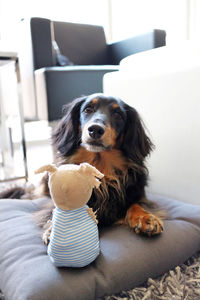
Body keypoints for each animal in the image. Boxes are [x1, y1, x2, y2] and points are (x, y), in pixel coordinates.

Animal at [0, 94, 163, 241]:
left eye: (118, 114)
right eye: (88, 109)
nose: (95, 129)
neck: (100, 167)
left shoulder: (136, 193)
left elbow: (135, 204)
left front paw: (146, 218)